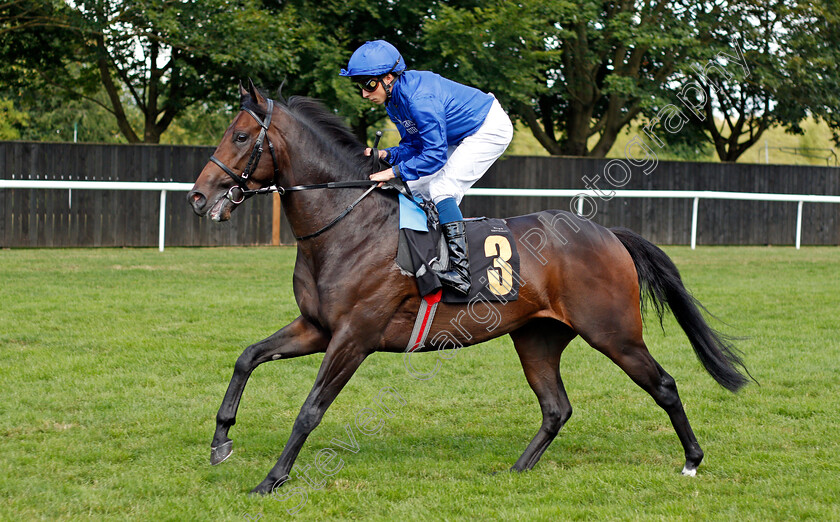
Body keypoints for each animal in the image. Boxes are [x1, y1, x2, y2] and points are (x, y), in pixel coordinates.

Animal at [185, 80, 748, 492]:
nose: (198, 197)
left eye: (240, 137)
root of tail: (607, 233)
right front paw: (220, 442)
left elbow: (310, 410)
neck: (346, 225)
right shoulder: (317, 327)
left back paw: (693, 460)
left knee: (664, 385)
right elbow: (247, 357)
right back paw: (517, 469)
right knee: (556, 407)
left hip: (614, 332)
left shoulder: (354, 337)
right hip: (537, 337)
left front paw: (272, 479)